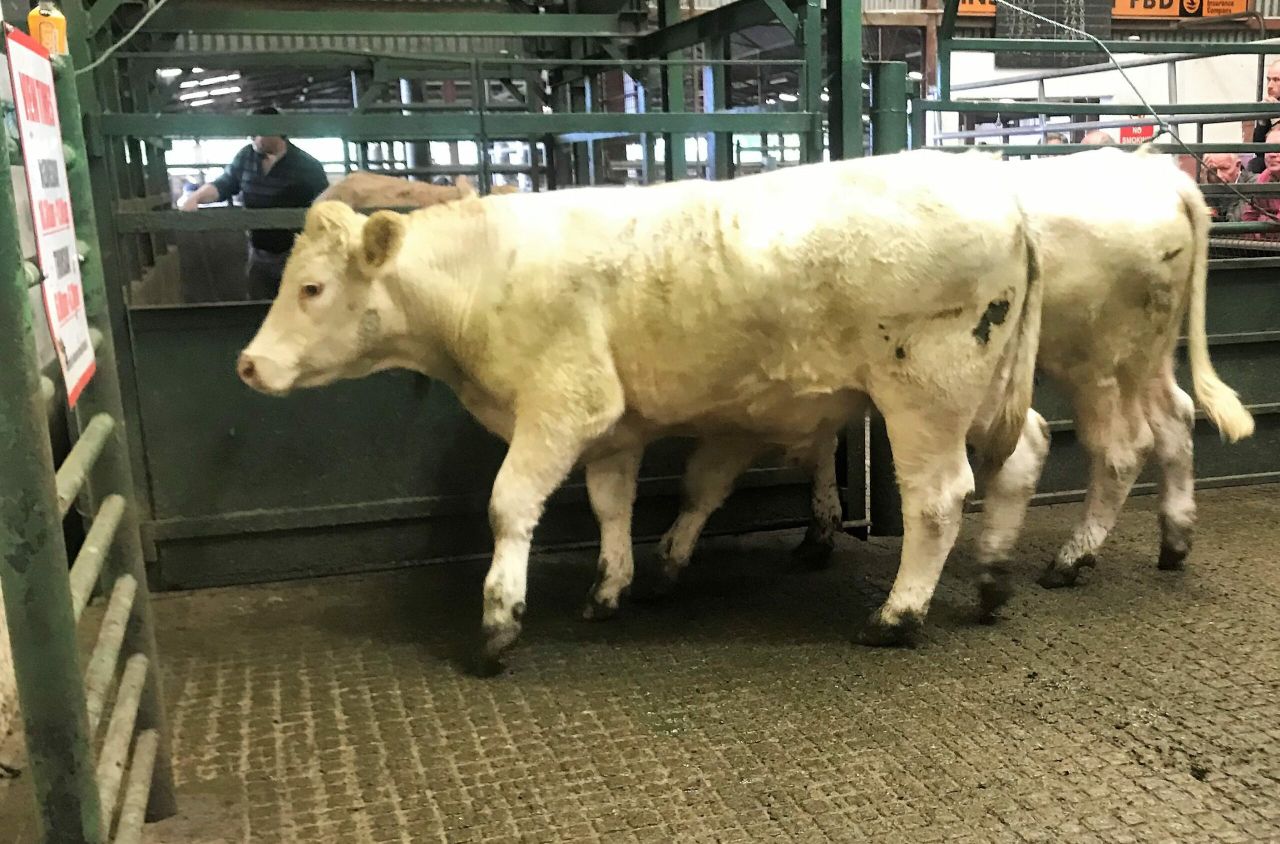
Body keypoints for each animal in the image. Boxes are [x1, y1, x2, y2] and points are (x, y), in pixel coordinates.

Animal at [235, 149, 1044, 675]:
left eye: (311, 287)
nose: (248, 363)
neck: (485, 276)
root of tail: (1003, 197)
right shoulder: (612, 426)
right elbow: (610, 504)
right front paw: (610, 587)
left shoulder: (562, 403)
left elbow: (509, 504)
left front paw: (498, 623)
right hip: (990, 388)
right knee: (1025, 453)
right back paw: (994, 580)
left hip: (926, 390)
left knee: (938, 498)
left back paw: (896, 618)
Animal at [661, 146, 1254, 620]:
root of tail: (1156, 173)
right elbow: (822, 450)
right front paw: (818, 534)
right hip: (1147, 355)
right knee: (1176, 418)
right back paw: (1174, 540)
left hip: (1097, 362)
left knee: (1123, 446)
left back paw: (1071, 559)